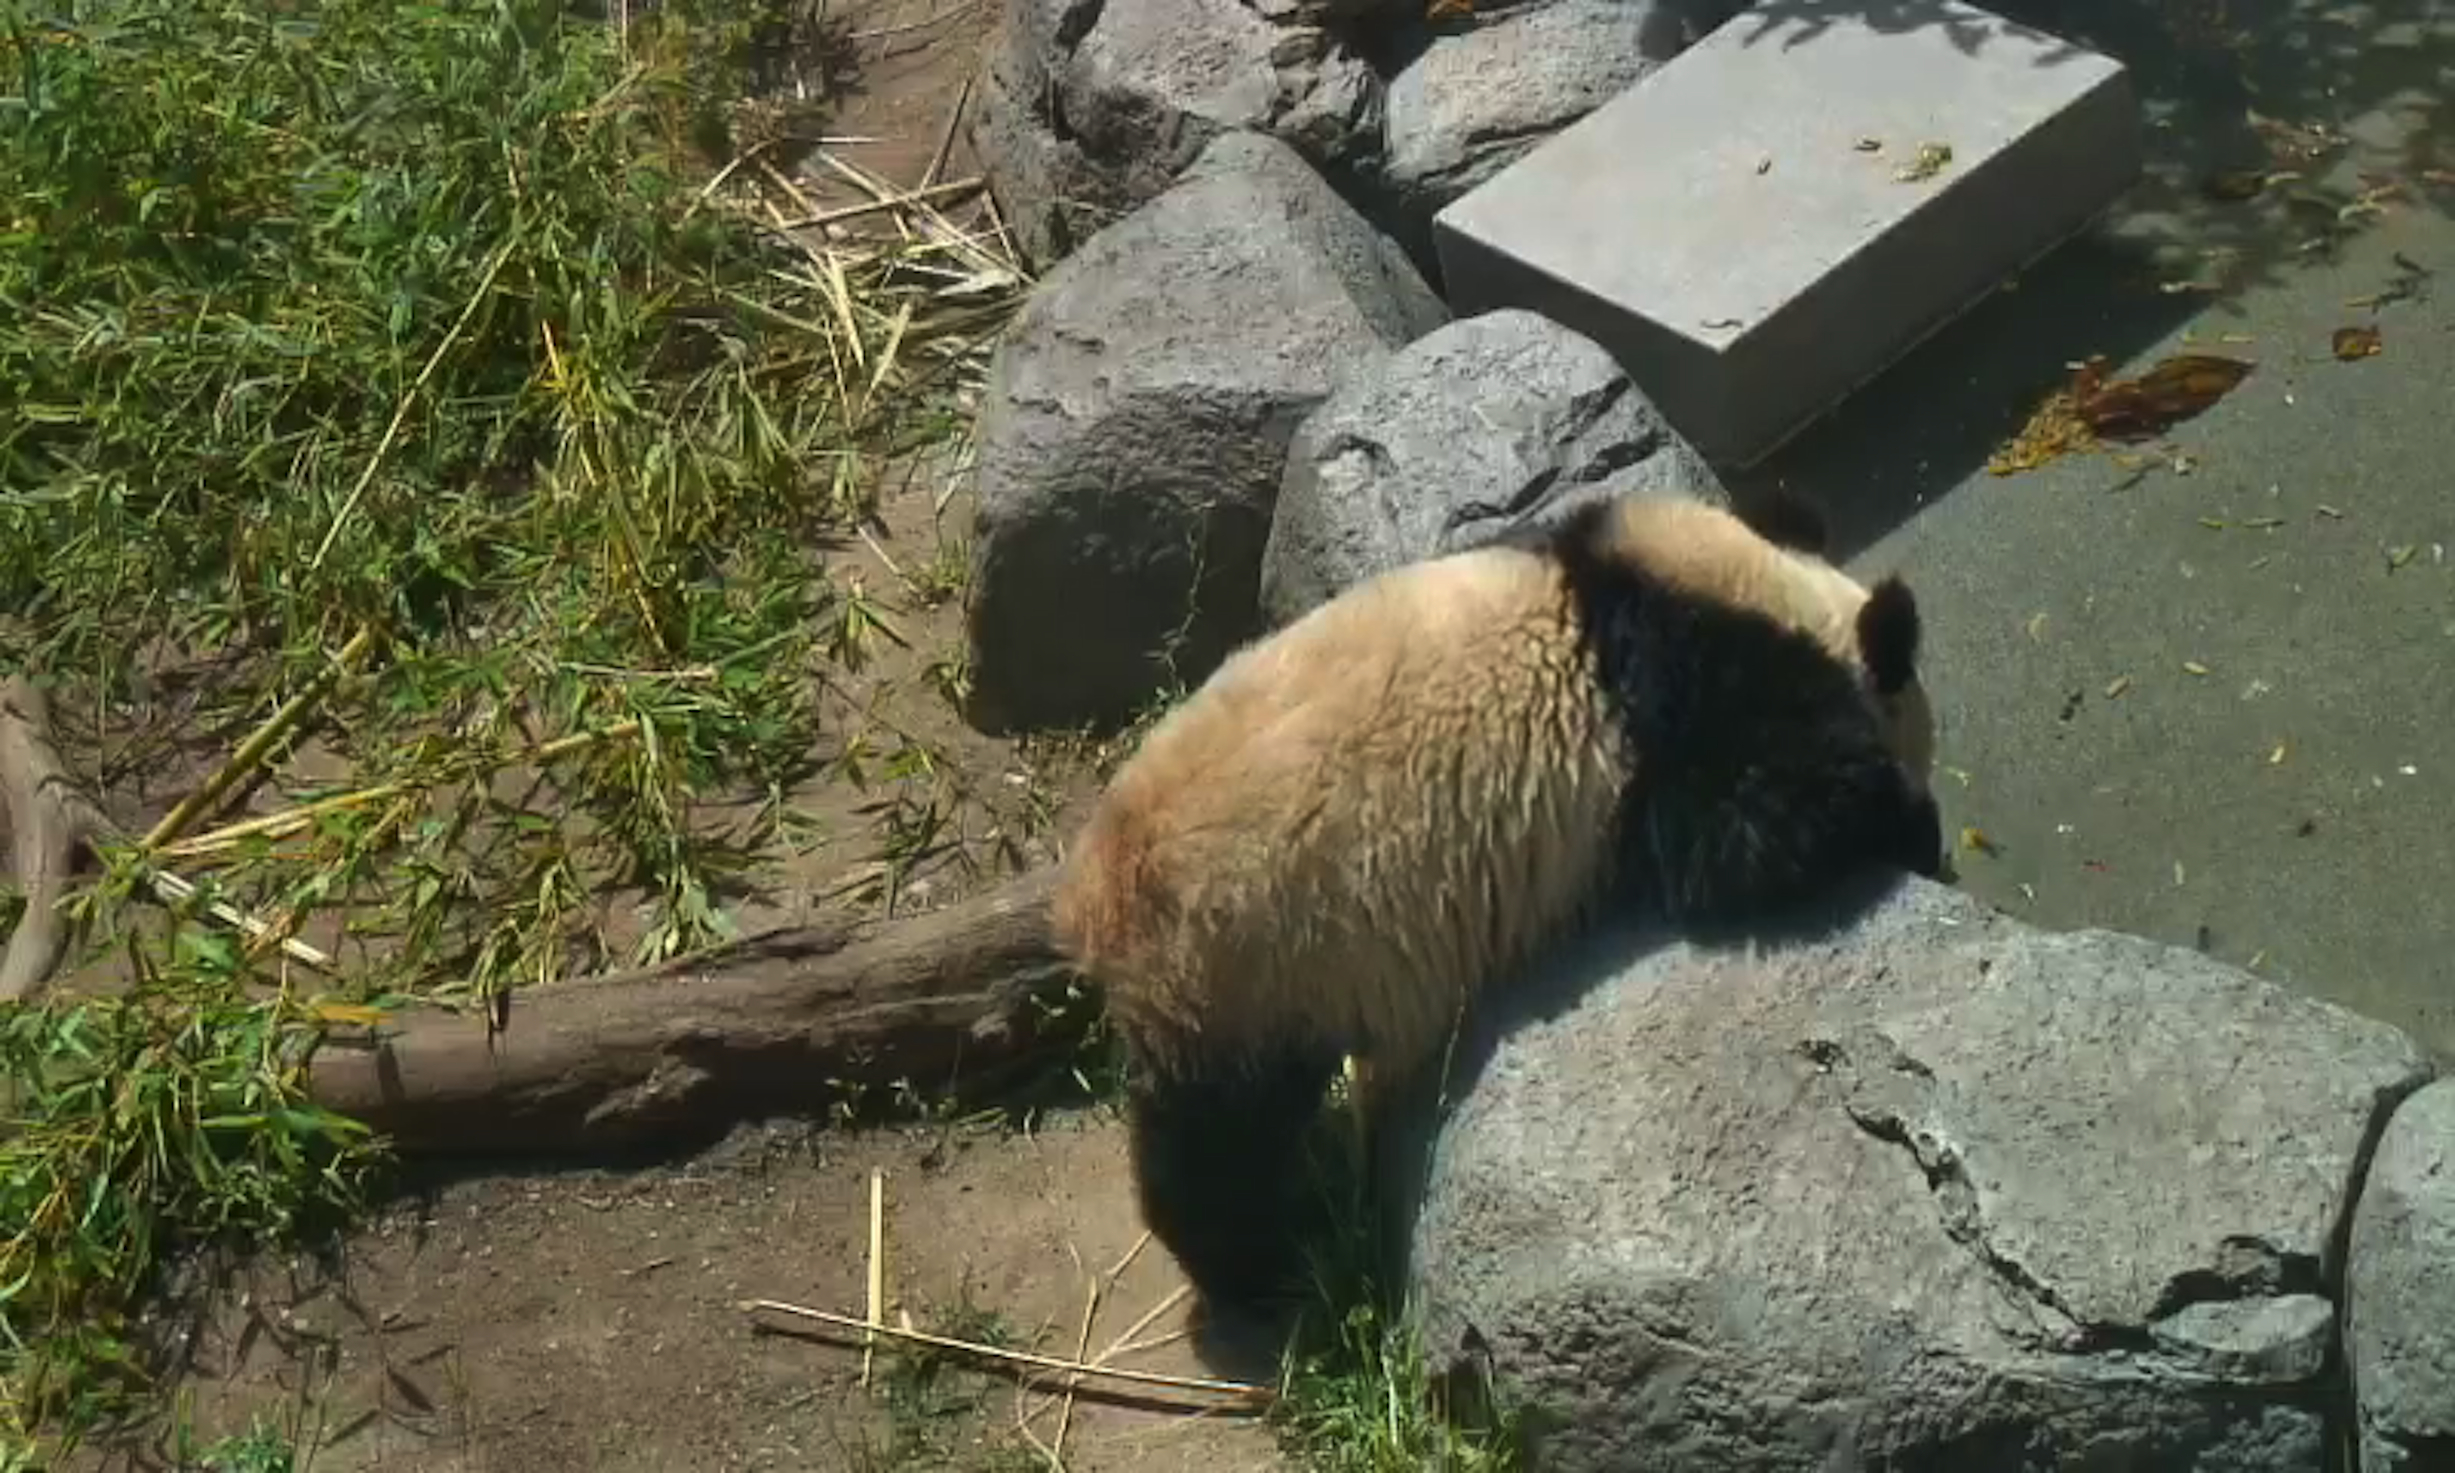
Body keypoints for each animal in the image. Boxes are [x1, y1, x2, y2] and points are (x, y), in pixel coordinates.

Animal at [1049, 491, 1943, 1312]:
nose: (1935, 823)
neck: (1757, 588)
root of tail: (1094, 904)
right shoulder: (1685, 704)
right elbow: (1753, 830)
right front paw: (1910, 824)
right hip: (1246, 962)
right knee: (1221, 1146)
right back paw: (1266, 1270)